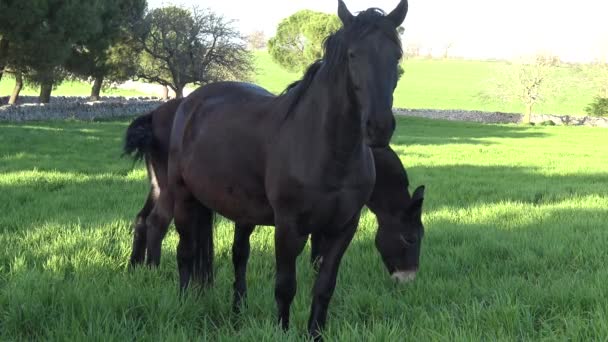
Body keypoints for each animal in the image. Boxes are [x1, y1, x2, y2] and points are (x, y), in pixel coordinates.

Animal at [131, 0, 410, 336]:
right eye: (353, 55)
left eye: (396, 55)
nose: (379, 127)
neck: (326, 149)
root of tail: (186, 104)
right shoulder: (288, 227)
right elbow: (285, 286)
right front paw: (282, 330)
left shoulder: (343, 228)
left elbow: (324, 288)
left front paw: (314, 333)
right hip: (182, 197)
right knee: (184, 251)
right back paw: (186, 303)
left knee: (238, 257)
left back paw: (237, 313)